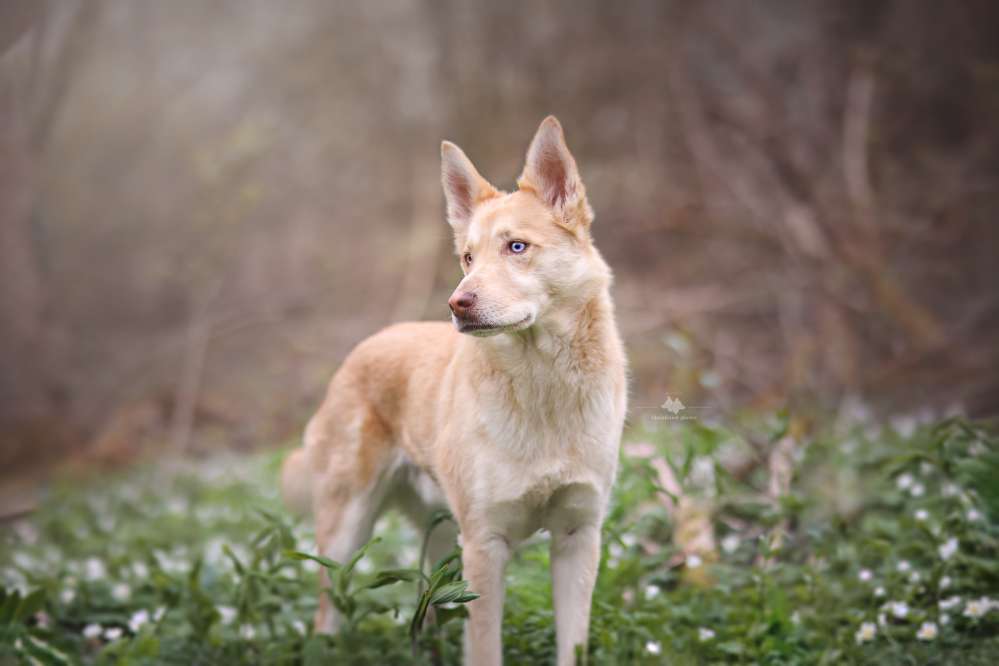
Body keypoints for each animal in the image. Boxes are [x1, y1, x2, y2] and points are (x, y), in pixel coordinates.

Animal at [282, 116, 624, 660]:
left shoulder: (578, 535)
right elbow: (484, 649)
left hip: (443, 544)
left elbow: (572, 647)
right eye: (467, 257)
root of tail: (365, 347)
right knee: (326, 612)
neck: (543, 387)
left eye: (517, 247)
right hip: (346, 533)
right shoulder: (485, 544)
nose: (457, 304)